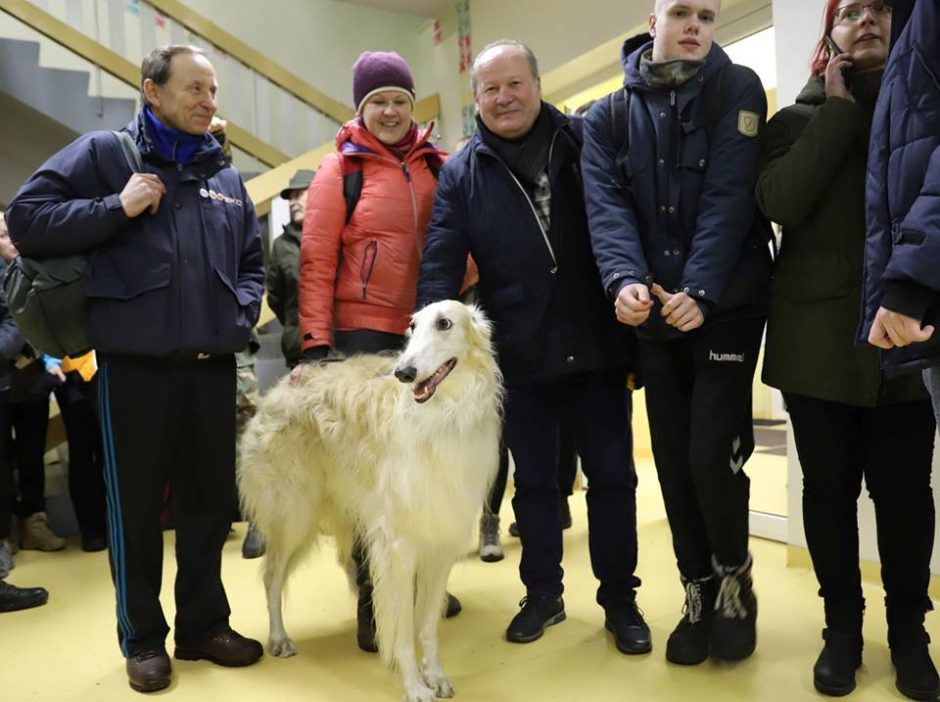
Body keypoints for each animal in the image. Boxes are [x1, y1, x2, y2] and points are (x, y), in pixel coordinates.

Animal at [239, 300, 504, 700]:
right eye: (412, 326)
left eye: (444, 323)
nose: (404, 372)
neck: (441, 417)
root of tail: (278, 389)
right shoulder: (398, 545)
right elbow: (404, 628)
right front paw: (415, 685)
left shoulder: (440, 541)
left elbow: (426, 624)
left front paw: (435, 674)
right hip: (294, 515)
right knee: (272, 577)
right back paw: (279, 638)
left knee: (346, 563)